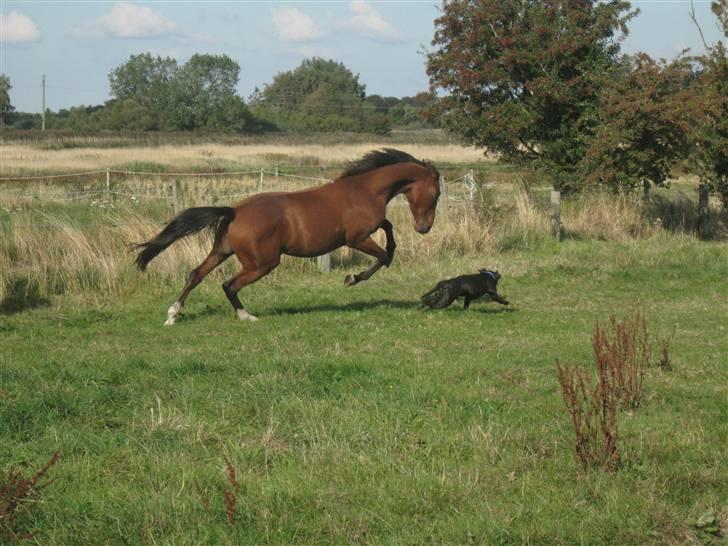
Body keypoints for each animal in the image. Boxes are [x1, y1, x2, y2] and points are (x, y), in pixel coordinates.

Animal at [136, 148, 440, 324]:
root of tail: (234, 211)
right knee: (228, 284)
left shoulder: (368, 231)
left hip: (222, 251)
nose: (424, 228)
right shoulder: (357, 238)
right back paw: (246, 315)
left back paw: (173, 314)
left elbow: (388, 230)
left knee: (196, 274)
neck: (365, 189)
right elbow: (383, 256)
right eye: (436, 194)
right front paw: (352, 278)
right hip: (262, 263)